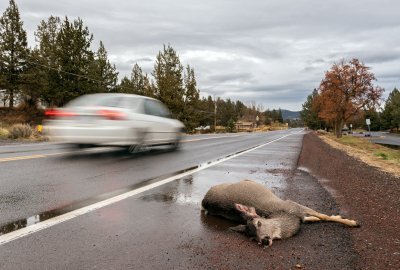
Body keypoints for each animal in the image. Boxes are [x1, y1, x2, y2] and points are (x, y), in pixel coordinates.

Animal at [202, 180, 358, 246]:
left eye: (259, 223)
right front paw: (350, 221)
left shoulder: (294, 206)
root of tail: (204, 200)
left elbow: (318, 216)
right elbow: (319, 216)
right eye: (253, 238)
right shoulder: (293, 205)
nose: (264, 240)